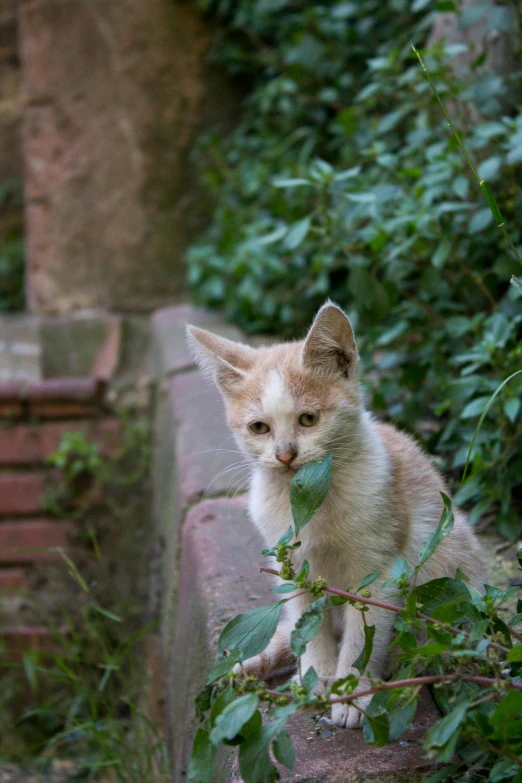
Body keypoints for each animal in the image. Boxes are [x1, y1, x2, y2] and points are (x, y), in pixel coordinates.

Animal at [186, 304, 484, 732]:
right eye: (259, 427)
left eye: (308, 419)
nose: (285, 455)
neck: (309, 497)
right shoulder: (291, 565)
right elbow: (306, 624)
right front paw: (318, 678)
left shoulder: (379, 569)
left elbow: (365, 633)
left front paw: (352, 690)